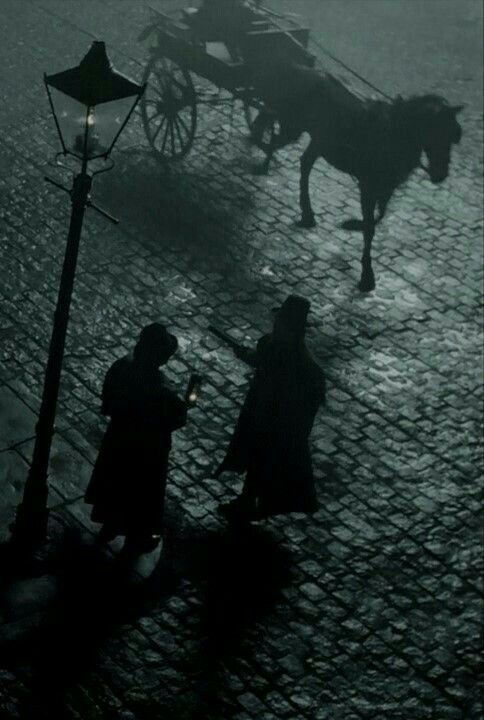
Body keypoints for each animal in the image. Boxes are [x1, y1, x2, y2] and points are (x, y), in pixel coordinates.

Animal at [248, 63, 464, 292]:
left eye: (452, 137)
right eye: (435, 133)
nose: (440, 175)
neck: (394, 134)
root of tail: (298, 68)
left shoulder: (386, 187)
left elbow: (379, 217)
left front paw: (351, 224)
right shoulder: (368, 186)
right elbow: (370, 226)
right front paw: (367, 275)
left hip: (318, 139)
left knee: (303, 162)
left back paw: (307, 212)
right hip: (293, 127)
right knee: (274, 137)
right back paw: (264, 165)